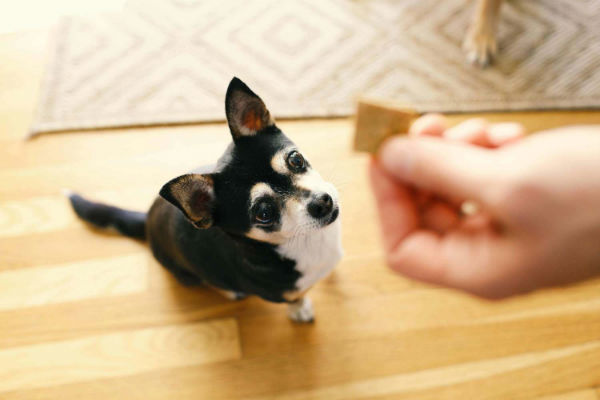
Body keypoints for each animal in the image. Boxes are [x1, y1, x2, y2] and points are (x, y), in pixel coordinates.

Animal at [67, 77, 342, 322]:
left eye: (295, 160)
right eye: (264, 213)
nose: (323, 202)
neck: (306, 242)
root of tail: (146, 220)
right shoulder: (282, 293)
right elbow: (296, 298)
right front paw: (300, 310)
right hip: (188, 275)